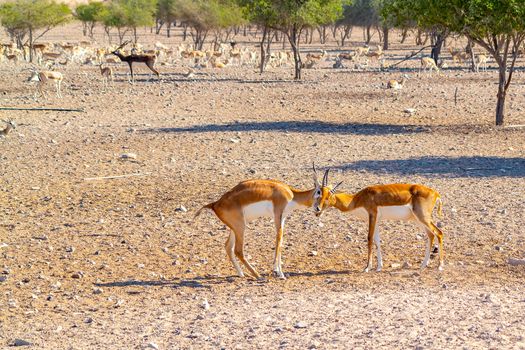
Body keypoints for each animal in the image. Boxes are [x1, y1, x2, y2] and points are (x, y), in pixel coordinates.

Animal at [192, 165, 324, 280]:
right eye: (319, 192)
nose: (318, 209)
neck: (291, 195)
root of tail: (215, 204)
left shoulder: (283, 218)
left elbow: (281, 241)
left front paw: (280, 271)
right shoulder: (277, 215)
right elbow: (278, 240)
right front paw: (279, 273)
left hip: (235, 228)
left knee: (228, 246)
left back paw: (242, 274)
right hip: (240, 227)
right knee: (238, 250)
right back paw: (258, 276)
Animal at [314, 171, 444, 272]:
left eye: (327, 196)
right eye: (319, 194)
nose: (317, 209)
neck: (358, 199)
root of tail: (435, 193)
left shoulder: (372, 215)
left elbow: (369, 238)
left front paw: (367, 267)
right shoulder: (376, 220)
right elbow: (377, 241)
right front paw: (379, 267)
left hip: (423, 217)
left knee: (439, 233)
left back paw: (440, 266)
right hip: (417, 219)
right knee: (431, 235)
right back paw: (423, 265)